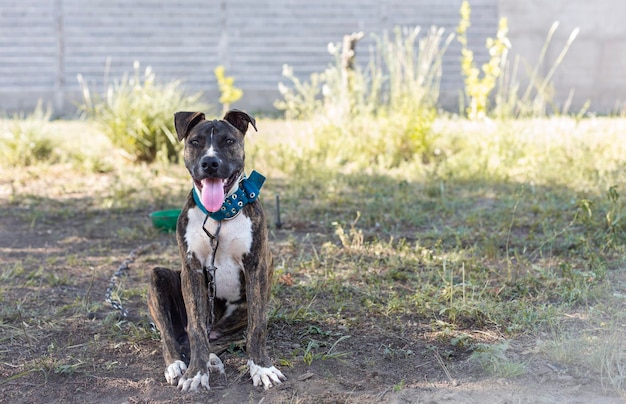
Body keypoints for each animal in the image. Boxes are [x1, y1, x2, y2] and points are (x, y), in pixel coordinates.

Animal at [147, 109, 284, 390]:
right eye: (195, 142)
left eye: (228, 141)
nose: (210, 163)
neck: (220, 215)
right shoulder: (192, 270)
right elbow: (196, 329)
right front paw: (195, 374)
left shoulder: (256, 266)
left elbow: (257, 326)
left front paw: (261, 368)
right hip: (157, 277)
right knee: (174, 336)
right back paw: (178, 364)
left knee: (227, 337)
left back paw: (212, 358)